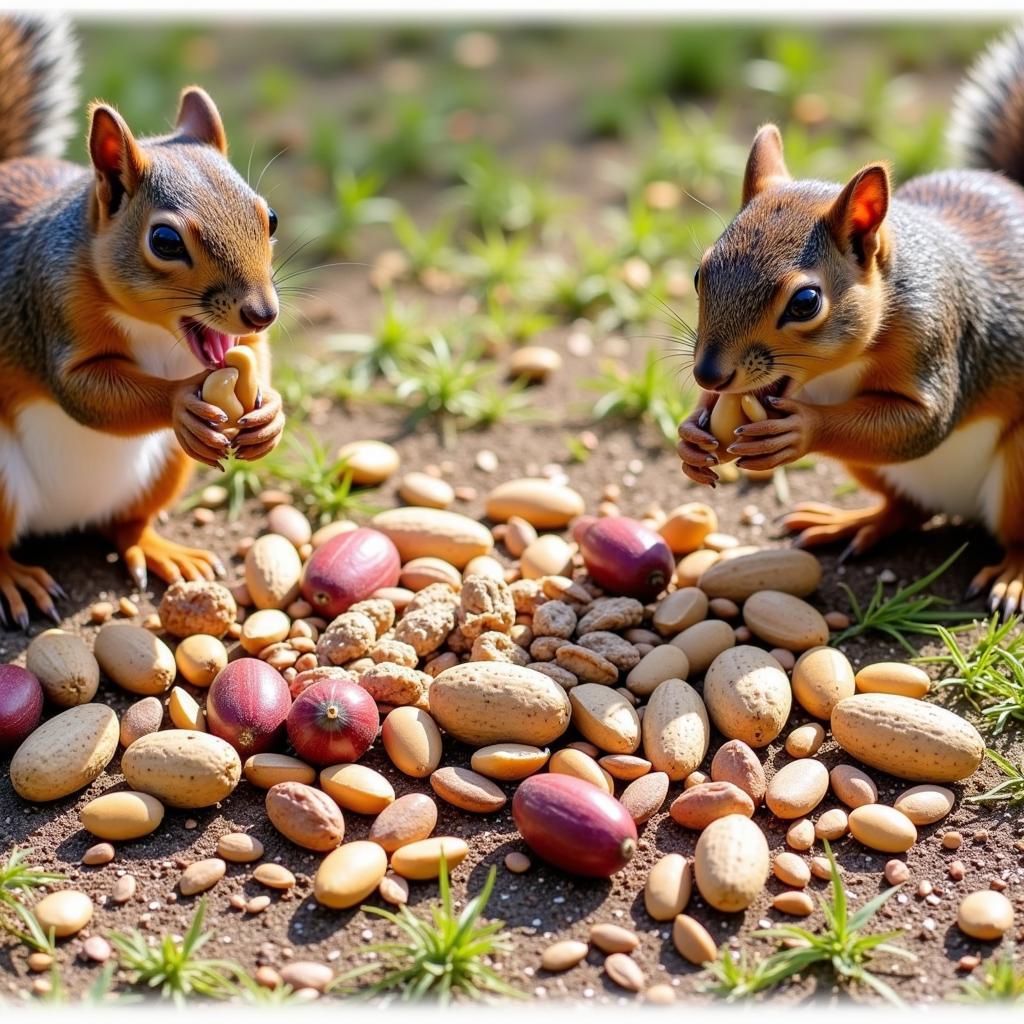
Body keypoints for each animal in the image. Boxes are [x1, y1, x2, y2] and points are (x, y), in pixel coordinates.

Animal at [0, 14, 284, 622]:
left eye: (269, 216)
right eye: (165, 241)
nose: (263, 312)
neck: (155, 331)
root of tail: (63, 517)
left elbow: (256, 356)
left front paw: (271, 411)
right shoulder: (48, 306)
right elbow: (81, 390)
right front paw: (179, 402)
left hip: (165, 468)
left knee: (123, 526)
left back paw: (162, 551)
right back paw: (14, 579)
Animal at [675, 25, 1024, 614]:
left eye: (805, 303)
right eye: (701, 274)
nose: (708, 374)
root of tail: (963, 506)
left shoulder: (940, 337)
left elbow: (924, 423)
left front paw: (802, 430)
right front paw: (691, 432)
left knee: (1013, 533)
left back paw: (1013, 575)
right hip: (872, 471)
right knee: (907, 509)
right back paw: (852, 522)